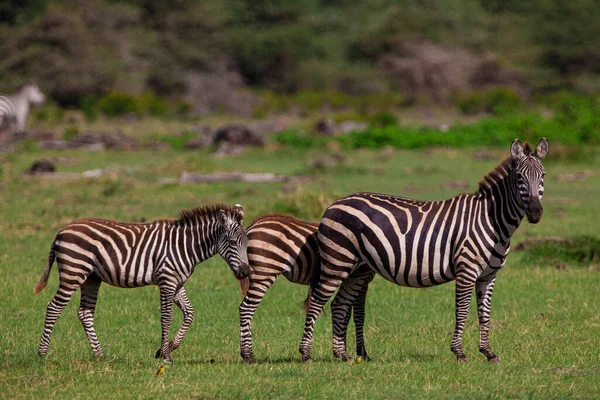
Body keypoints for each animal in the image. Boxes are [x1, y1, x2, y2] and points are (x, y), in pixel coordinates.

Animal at [34, 203, 250, 362]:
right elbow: (166, 318)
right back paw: (42, 354)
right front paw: (166, 356)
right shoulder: (166, 280)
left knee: (85, 313)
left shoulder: (177, 283)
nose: (246, 271)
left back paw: (100, 355)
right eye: (232, 242)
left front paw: (166, 349)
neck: (185, 245)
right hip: (73, 271)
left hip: (91, 278)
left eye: (247, 243)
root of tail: (62, 230)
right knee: (54, 307)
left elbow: (189, 314)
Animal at [239, 214, 376, 364]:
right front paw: (361, 354)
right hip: (264, 273)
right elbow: (359, 315)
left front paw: (348, 351)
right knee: (246, 308)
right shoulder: (362, 278)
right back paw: (248, 356)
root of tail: (253, 225)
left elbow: (348, 314)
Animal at [300, 139, 548, 364]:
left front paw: (488, 352)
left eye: (543, 176)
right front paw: (459, 353)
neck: (492, 221)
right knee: (316, 303)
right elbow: (463, 311)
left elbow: (484, 315)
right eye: (519, 178)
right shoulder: (467, 270)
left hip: (357, 269)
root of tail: (332, 205)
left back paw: (342, 355)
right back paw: (305, 355)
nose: (536, 213)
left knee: (339, 305)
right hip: (337, 262)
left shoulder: (489, 275)